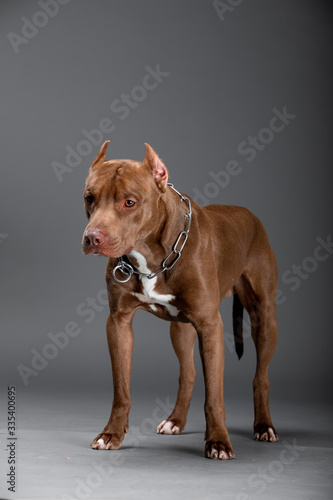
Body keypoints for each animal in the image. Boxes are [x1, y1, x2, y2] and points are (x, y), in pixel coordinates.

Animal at [82, 141, 278, 460]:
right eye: (90, 198)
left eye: (129, 202)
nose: (92, 238)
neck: (150, 255)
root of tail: (248, 213)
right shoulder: (119, 324)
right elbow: (121, 389)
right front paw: (112, 433)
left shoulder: (210, 326)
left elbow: (215, 394)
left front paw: (218, 441)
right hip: (181, 329)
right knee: (188, 372)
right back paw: (175, 420)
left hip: (264, 318)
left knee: (261, 375)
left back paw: (263, 426)